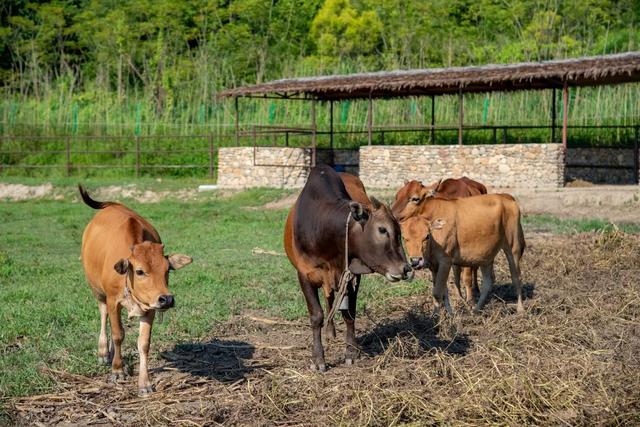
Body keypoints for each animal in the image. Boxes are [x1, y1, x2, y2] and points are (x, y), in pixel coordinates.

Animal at [79, 186, 191, 396]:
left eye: (168, 269)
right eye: (139, 271)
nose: (167, 299)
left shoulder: (150, 307)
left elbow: (143, 343)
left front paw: (144, 383)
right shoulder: (113, 301)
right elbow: (118, 334)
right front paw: (117, 370)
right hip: (97, 291)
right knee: (103, 315)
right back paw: (104, 352)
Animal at [282, 167, 412, 372]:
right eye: (382, 229)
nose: (405, 268)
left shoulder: (352, 276)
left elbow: (349, 313)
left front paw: (351, 352)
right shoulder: (304, 275)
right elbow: (316, 316)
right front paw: (318, 359)